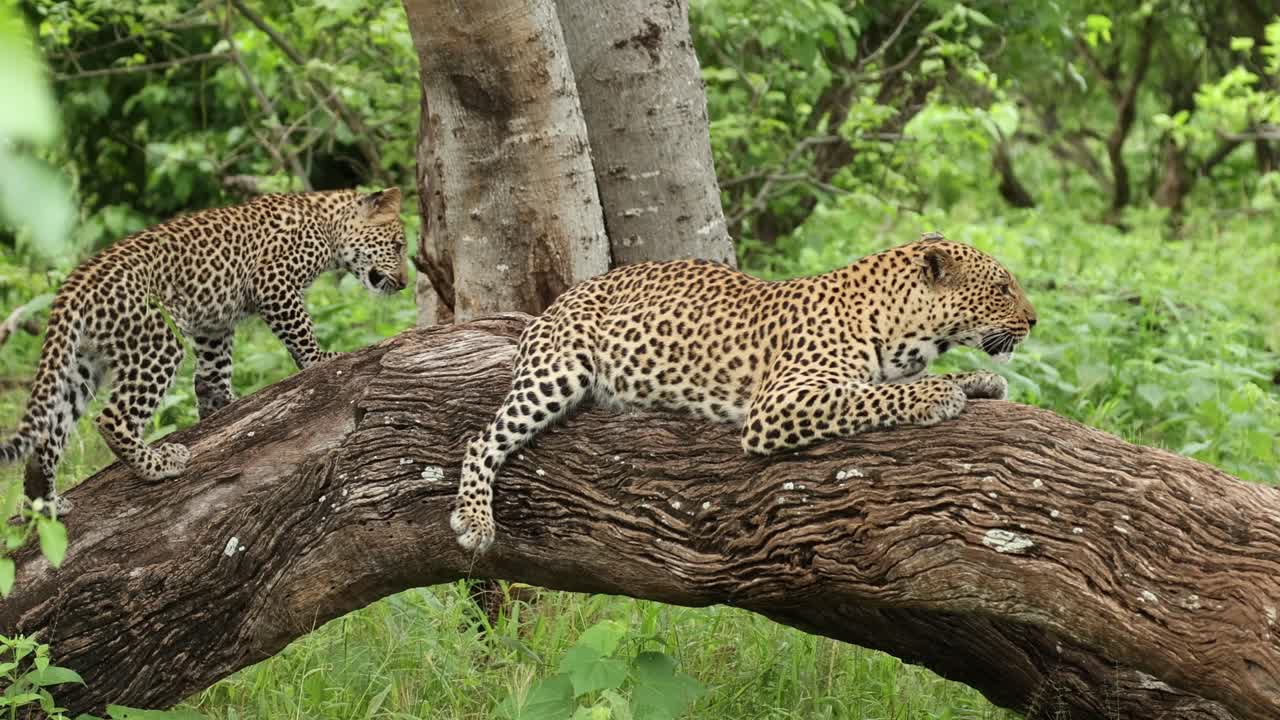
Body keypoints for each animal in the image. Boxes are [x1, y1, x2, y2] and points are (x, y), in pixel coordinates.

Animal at [1, 188, 408, 511]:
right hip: (159, 343)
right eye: (399, 246)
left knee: (48, 433)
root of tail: (76, 281)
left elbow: (212, 377)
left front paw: (223, 411)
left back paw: (45, 501)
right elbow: (301, 331)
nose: (405, 283)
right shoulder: (273, 283)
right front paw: (323, 360)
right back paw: (158, 465)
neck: (327, 222)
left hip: (82, 364)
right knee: (112, 418)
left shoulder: (214, 327)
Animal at [451, 231, 1037, 552]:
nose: (1033, 320)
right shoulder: (779, 404)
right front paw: (937, 396)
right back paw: (473, 520)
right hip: (558, 372)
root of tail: (558, 301)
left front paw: (979, 379)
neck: (906, 332)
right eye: (1003, 287)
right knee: (482, 440)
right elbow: (864, 396)